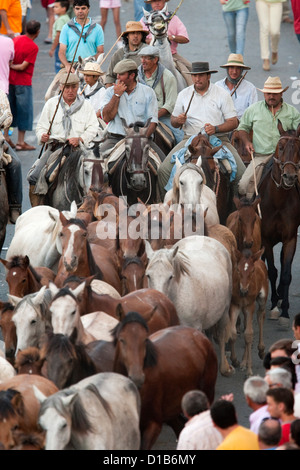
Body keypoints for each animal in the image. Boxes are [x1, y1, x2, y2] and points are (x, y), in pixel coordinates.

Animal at [112, 314, 218, 450]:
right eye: (122, 339)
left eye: (145, 339)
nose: (137, 377)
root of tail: (201, 337)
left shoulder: (154, 424)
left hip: (207, 395)